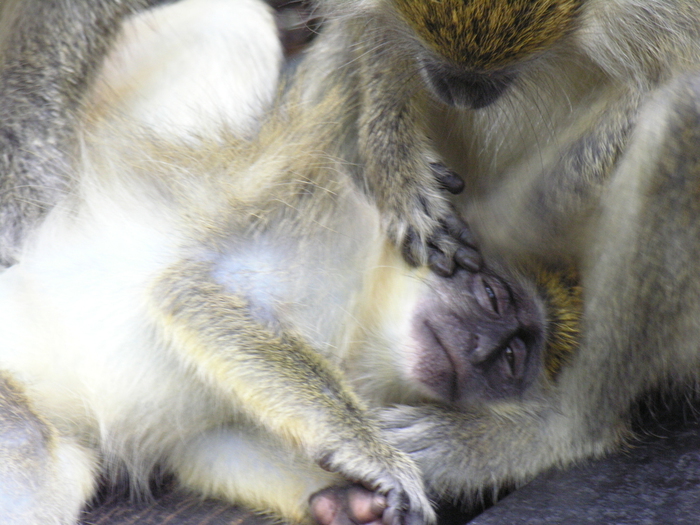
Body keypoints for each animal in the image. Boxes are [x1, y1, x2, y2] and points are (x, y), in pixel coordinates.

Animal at [0, 1, 586, 524]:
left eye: (515, 360)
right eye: (493, 298)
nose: (489, 354)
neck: (361, 317)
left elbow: (213, 446)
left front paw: (351, 504)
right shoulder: (326, 217)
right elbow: (198, 290)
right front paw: (374, 455)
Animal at [294, 0, 700, 513]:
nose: (458, 90)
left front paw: (507, 222)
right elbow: (366, 27)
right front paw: (395, 166)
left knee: (682, 113)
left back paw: (553, 429)